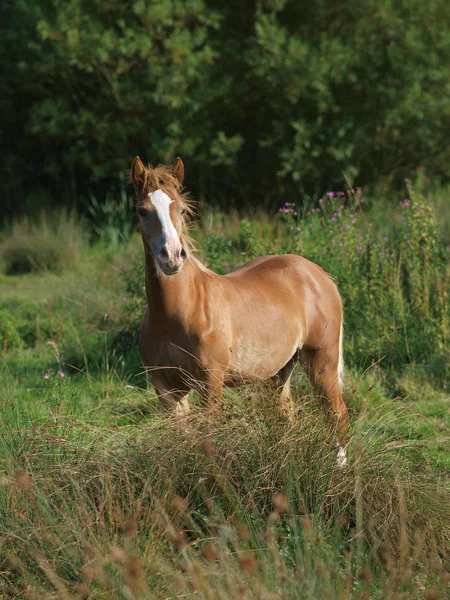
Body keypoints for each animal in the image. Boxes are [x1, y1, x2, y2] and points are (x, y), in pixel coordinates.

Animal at [130, 155, 348, 464]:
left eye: (181, 208)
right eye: (142, 210)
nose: (171, 257)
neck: (176, 314)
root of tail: (318, 274)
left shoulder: (211, 383)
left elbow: (208, 442)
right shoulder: (166, 389)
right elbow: (183, 441)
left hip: (322, 363)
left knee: (337, 415)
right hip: (278, 373)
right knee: (287, 416)